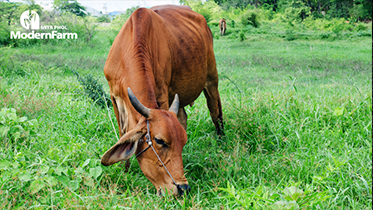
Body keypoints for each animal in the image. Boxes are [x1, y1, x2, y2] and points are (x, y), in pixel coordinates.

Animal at [100, 4, 222, 196]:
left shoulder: (163, 94)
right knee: (183, 116)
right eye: (159, 141)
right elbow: (122, 132)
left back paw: (222, 141)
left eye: (183, 142)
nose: (182, 188)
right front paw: (125, 171)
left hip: (211, 79)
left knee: (215, 111)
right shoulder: (114, 97)